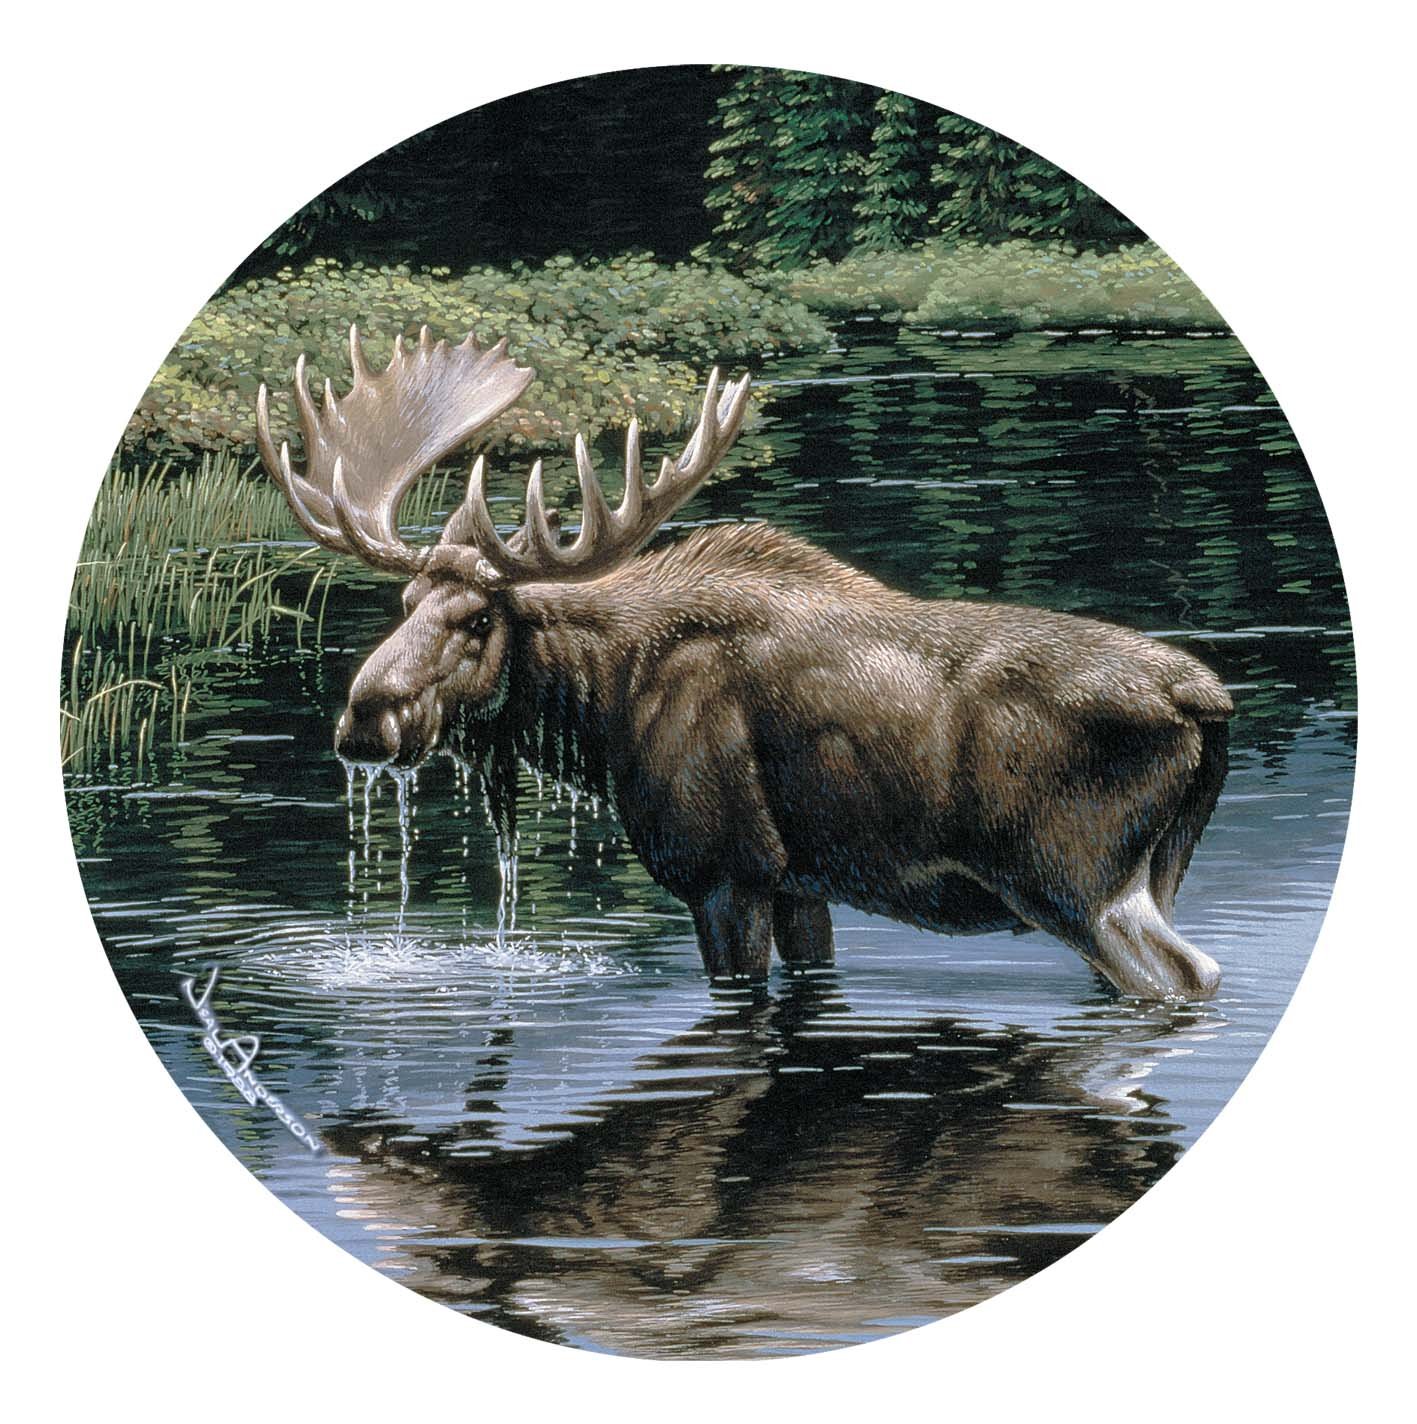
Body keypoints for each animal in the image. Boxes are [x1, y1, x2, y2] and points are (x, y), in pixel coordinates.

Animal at [256, 324, 1233, 1001]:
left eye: (474, 619)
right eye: (405, 606)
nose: (364, 715)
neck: (602, 712)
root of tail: (1204, 698)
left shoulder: (720, 870)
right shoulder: (800, 881)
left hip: (1069, 878)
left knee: (1188, 977)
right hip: (1143, 873)